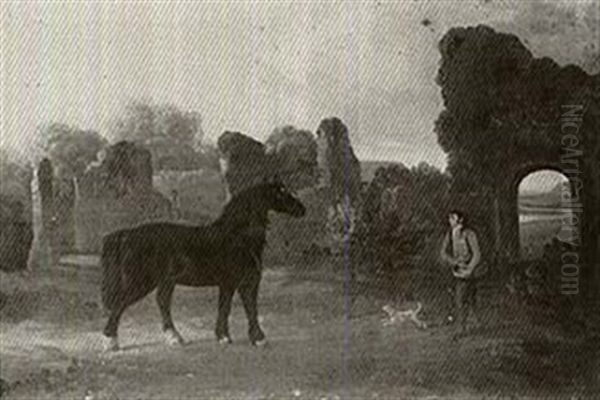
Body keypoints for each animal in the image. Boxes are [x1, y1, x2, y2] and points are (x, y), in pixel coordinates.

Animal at [102, 181, 304, 350]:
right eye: (281, 192)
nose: (302, 209)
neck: (238, 237)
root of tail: (126, 234)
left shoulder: (233, 283)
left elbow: (231, 308)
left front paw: (228, 337)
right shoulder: (241, 283)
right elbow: (245, 308)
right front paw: (254, 338)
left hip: (165, 282)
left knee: (162, 302)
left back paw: (175, 337)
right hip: (141, 282)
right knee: (120, 304)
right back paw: (111, 341)